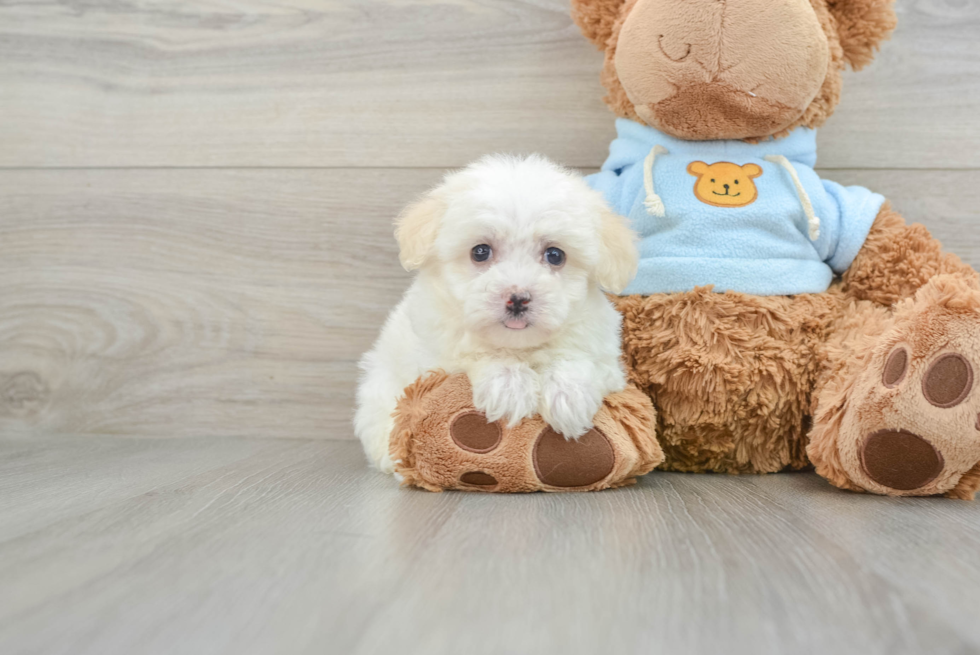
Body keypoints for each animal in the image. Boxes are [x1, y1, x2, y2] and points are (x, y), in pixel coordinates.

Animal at [356, 155, 640, 472]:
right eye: (480, 252)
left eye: (555, 255)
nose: (517, 299)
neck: (520, 346)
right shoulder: (434, 357)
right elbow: (475, 353)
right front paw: (509, 386)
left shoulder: (607, 360)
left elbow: (576, 358)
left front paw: (568, 396)